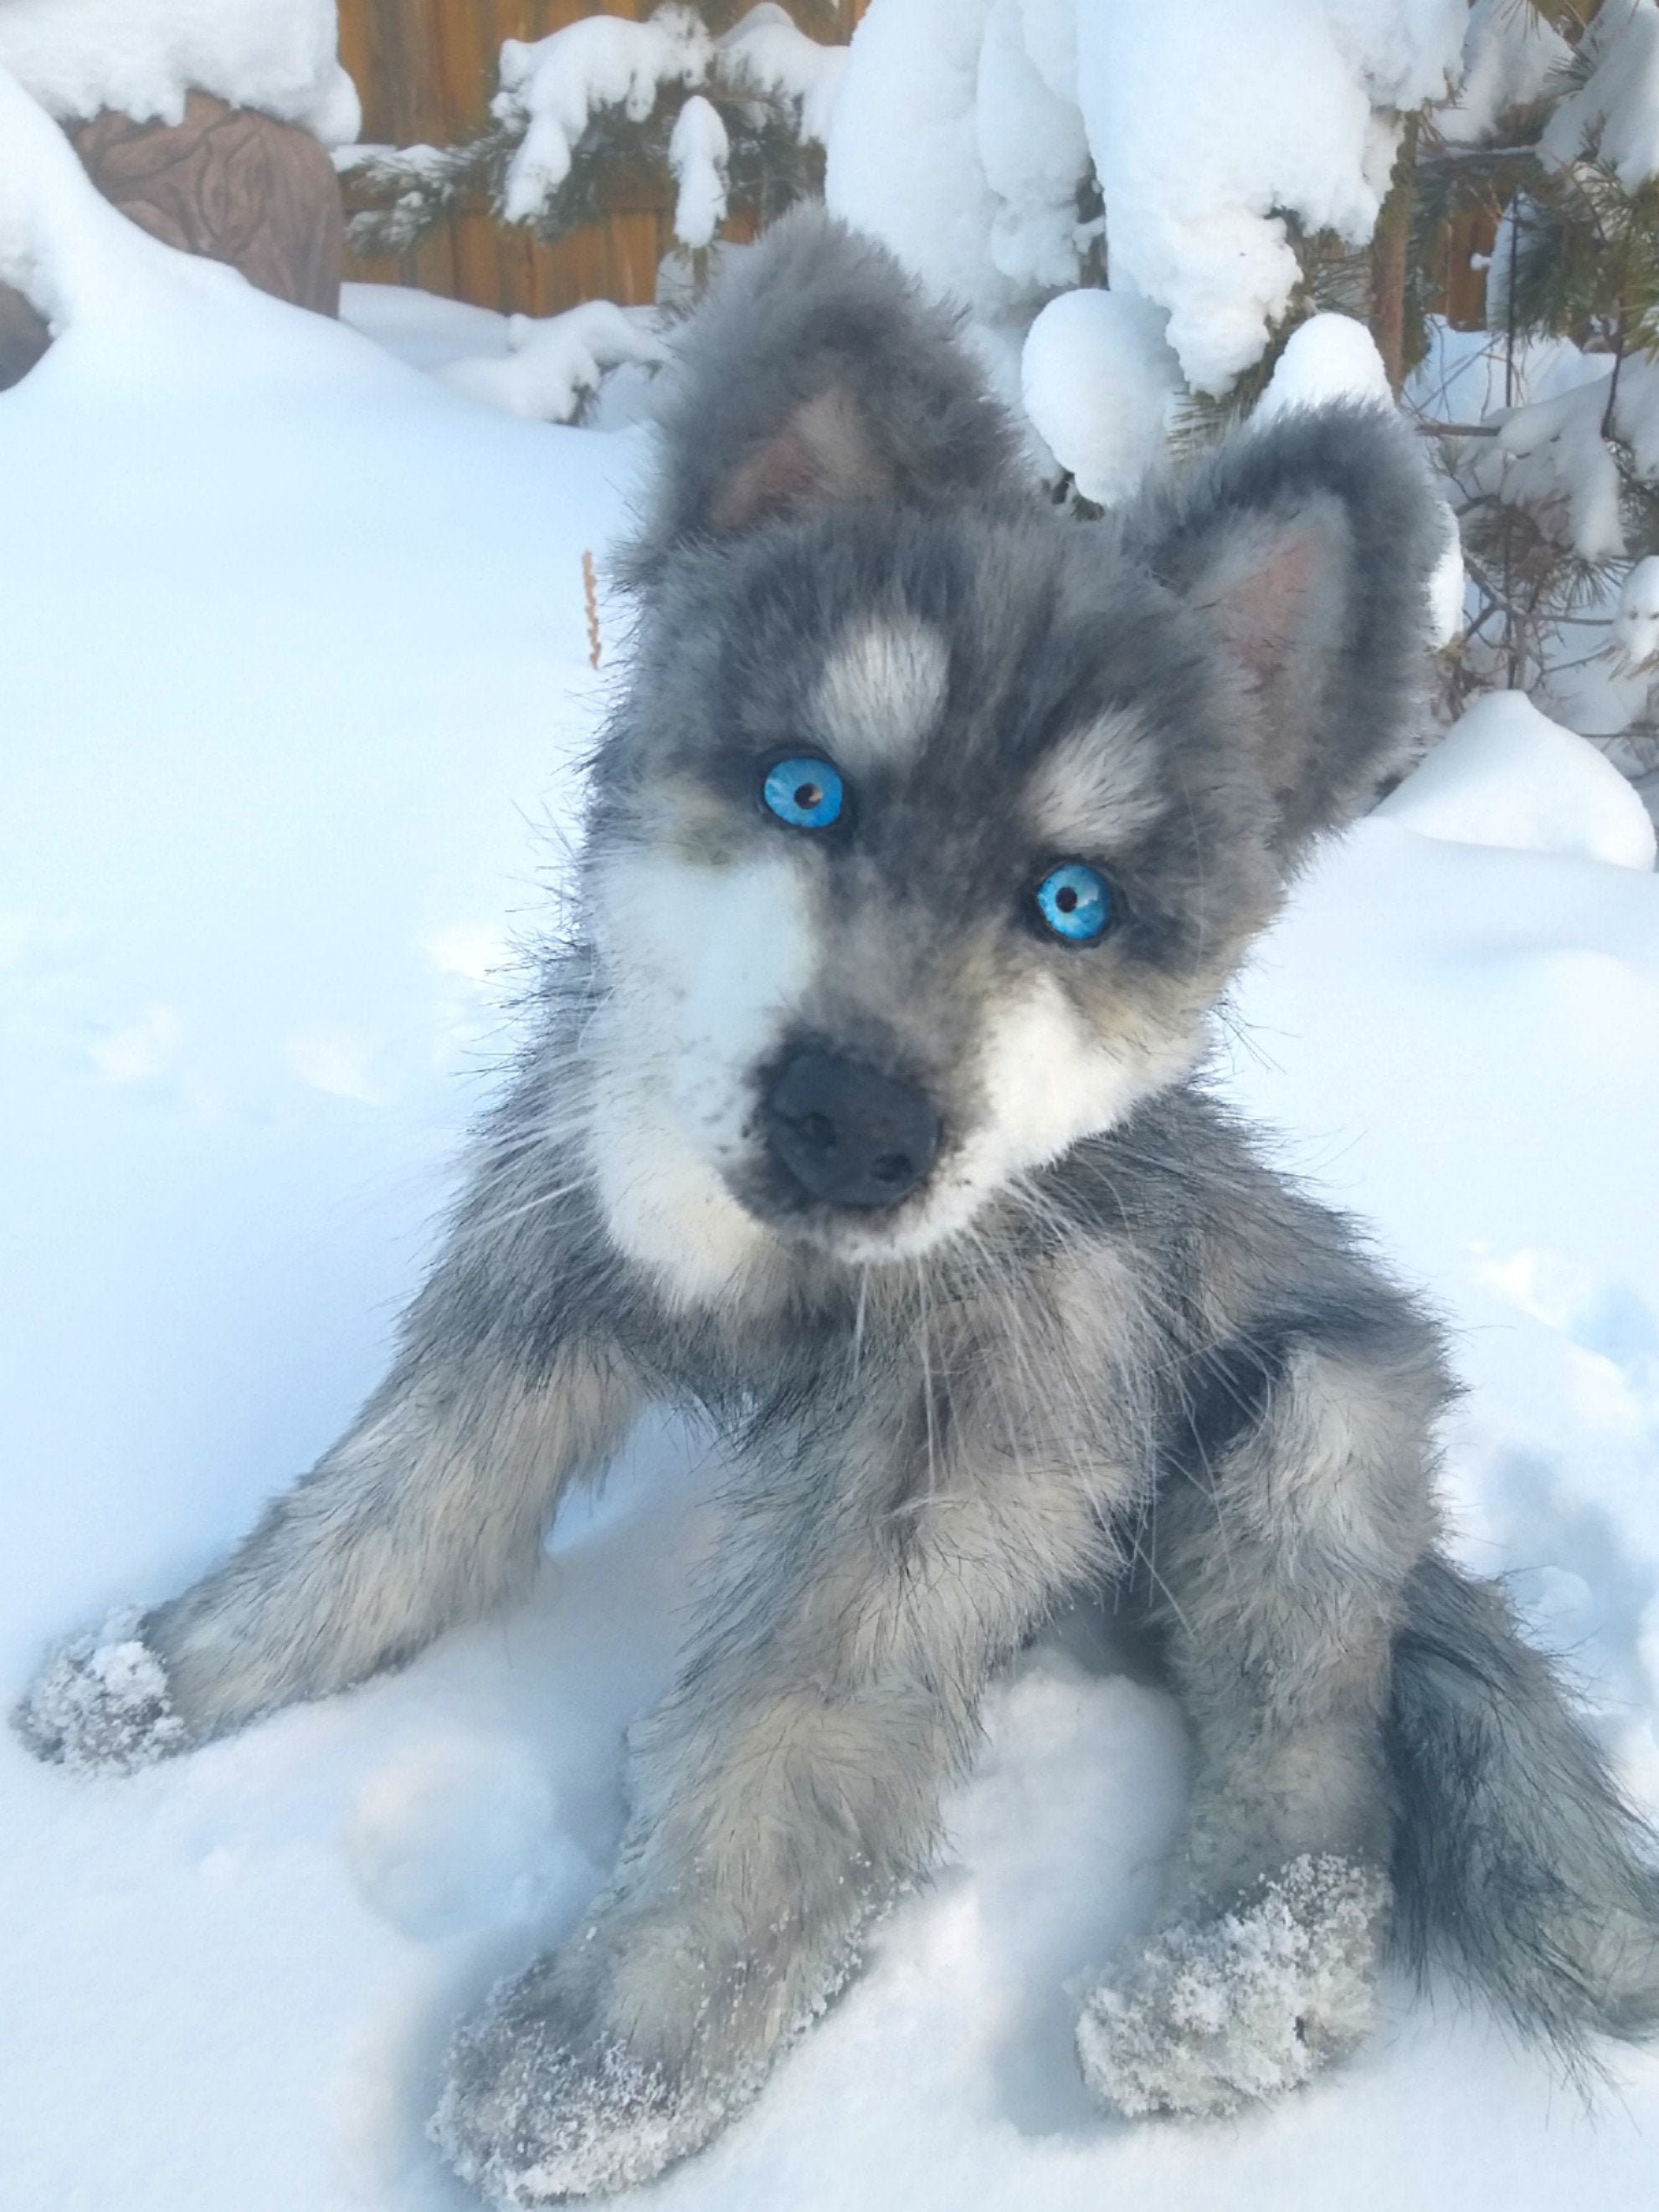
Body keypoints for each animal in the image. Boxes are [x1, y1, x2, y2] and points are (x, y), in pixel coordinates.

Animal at [18, 210, 1659, 2203]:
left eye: (1073, 900)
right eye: (806, 790)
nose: (850, 1126)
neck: (771, 1276)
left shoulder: (937, 1463)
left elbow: (780, 1730)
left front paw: (616, 2053)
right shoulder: (536, 1277)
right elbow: (383, 1513)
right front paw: (168, 1669)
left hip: (1304, 1435)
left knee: (1311, 1729)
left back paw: (1232, 1982)